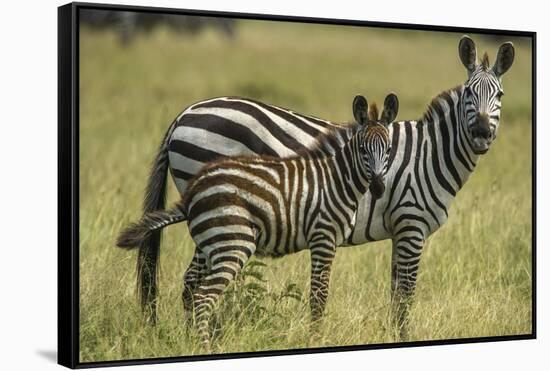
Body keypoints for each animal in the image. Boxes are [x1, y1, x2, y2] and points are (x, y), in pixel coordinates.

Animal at [118, 94, 398, 348]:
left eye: (389, 150)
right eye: (362, 150)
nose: (378, 188)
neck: (337, 179)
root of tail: (181, 117)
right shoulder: (325, 236)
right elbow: (320, 296)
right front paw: (316, 340)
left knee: (193, 284)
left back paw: (196, 340)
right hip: (227, 236)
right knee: (199, 290)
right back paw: (203, 343)